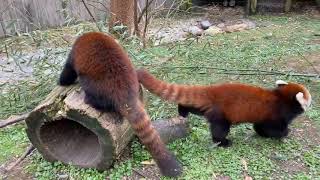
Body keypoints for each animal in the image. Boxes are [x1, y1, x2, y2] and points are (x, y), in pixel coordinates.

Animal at [58, 32, 181, 177]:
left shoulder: (74, 54)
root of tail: (124, 91)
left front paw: (61, 82)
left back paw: (88, 99)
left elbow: (68, 71)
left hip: (95, 83)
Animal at [136, 69, 312, 147]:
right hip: (221, 114)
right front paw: (284, 133)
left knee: (194, 107)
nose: (313, 100)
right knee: (220, 129)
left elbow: (259, 126)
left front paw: (262, 134)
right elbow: (274, 128)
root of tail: (213, 90)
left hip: (206, 108)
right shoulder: (276, 114)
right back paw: (222, 142)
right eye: (309, 98)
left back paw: (183, 111)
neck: (282, 97)